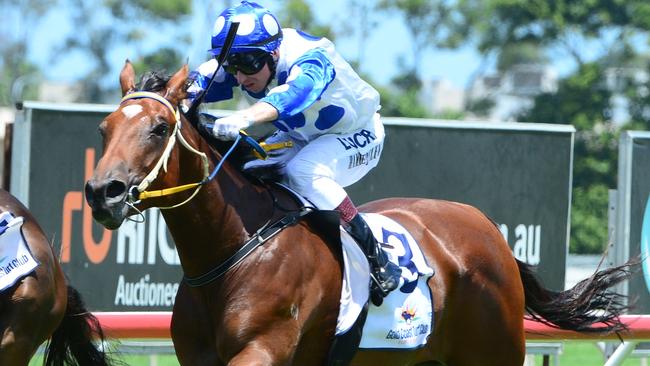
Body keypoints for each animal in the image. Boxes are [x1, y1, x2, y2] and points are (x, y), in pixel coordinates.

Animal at [83, 61, 632, 364]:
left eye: (158, 128)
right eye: (104, 128)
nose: (102, 192)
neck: (234, 249)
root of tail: (488, 229)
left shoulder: (262, 349)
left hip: (492, 351)